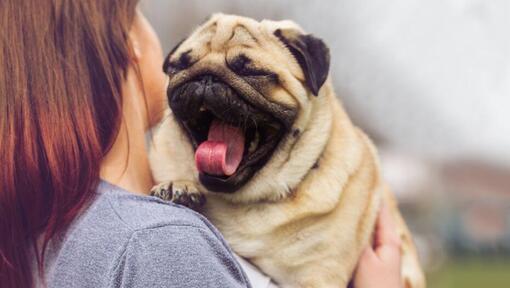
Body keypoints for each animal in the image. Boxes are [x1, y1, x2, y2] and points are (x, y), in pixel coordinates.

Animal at [150, 14, 426, 288]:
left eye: (251, 71)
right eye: (180, 66)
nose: (206, 77)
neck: (245, 201)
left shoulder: (319, 274)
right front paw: (179, 186)